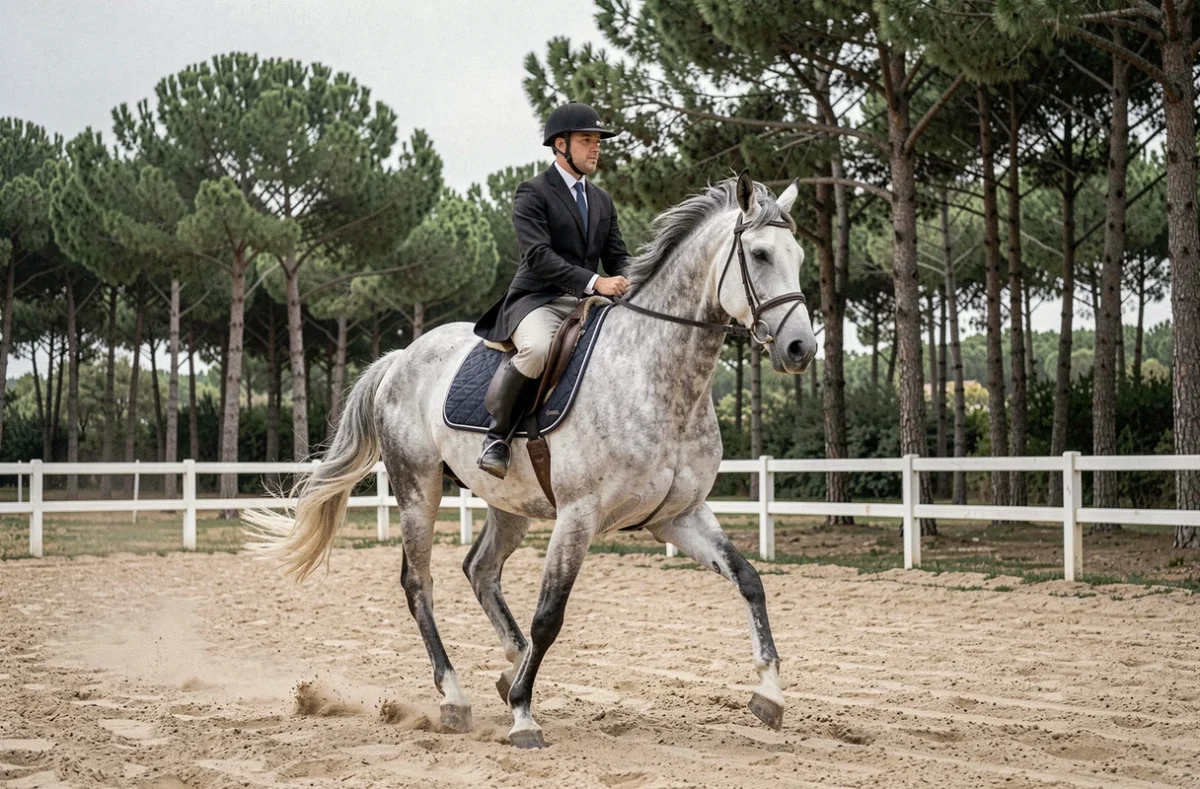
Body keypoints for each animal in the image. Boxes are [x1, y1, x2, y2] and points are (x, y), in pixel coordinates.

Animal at [247, 170, 817, 748]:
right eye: (760, 254)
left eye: (798, 256)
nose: (801, 349)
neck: (656, 378)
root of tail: (401, 357)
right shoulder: (578, 516)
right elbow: (550, 614)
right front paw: (524, 715)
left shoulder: (678, 516)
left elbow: (749, 578)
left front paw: (770, 695)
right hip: (417, 490)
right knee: (418, 584)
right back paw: (456, 696)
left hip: (507, 503)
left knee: (480, 569)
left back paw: (510, 667)